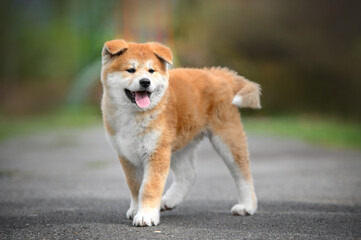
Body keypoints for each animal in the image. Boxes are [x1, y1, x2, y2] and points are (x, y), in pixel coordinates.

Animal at [100, 39, 260, 227]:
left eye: (151, 70)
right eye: (131, 70)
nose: (145, 82)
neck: (133, 116)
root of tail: (216, 74)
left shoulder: (156, 152)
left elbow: (149, 187)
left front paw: (146, 215)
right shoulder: (126, 155)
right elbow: (135, 187)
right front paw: (136, 209)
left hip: (227, 138)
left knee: (242, 173)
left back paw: (247, 206)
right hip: (178, 145)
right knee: (188, 175)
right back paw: (168, 201)